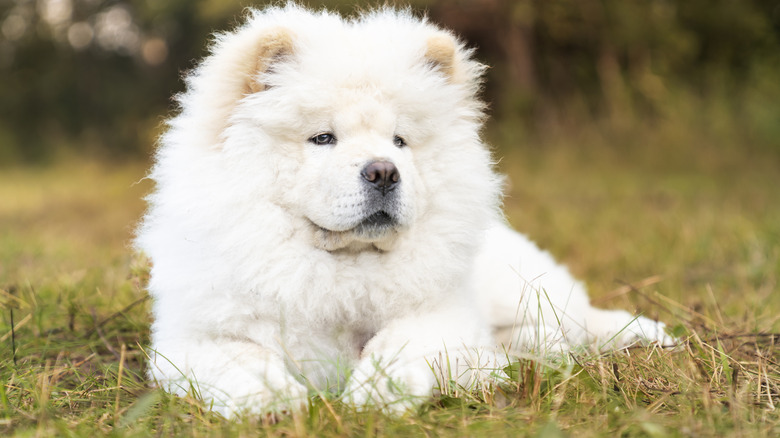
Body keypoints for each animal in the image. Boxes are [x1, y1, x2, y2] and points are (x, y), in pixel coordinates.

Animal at [137, 3, 672, 418]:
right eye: (323, 138)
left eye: (399, 141)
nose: (383, 172)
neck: (341, 269)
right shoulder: (194, 338)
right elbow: (243, 363)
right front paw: (274, 403)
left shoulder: (442, 316)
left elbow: (395, 347)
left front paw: (374, 396)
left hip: (520, 288)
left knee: (578, 317)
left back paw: (640, 333)